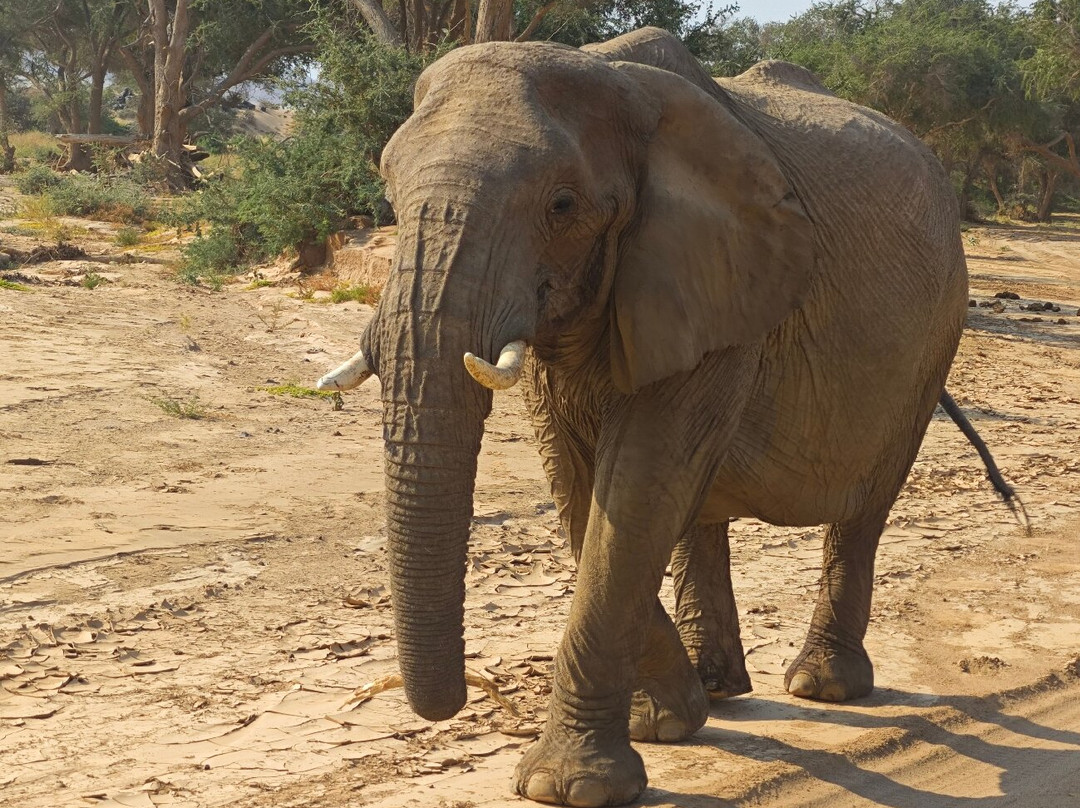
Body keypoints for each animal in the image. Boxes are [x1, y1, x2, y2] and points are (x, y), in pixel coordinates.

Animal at [315, 27, 1016, 808]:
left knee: (864, 507)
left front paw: (571, 786)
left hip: (934, 338)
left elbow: (635, 488)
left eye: (562, 205)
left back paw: (822, 686)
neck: (614, 79)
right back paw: (718, 689)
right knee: (700, 506)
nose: (456, 699)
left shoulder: (718, 277)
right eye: (388, 194)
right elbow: (582, 489)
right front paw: (667, 725)